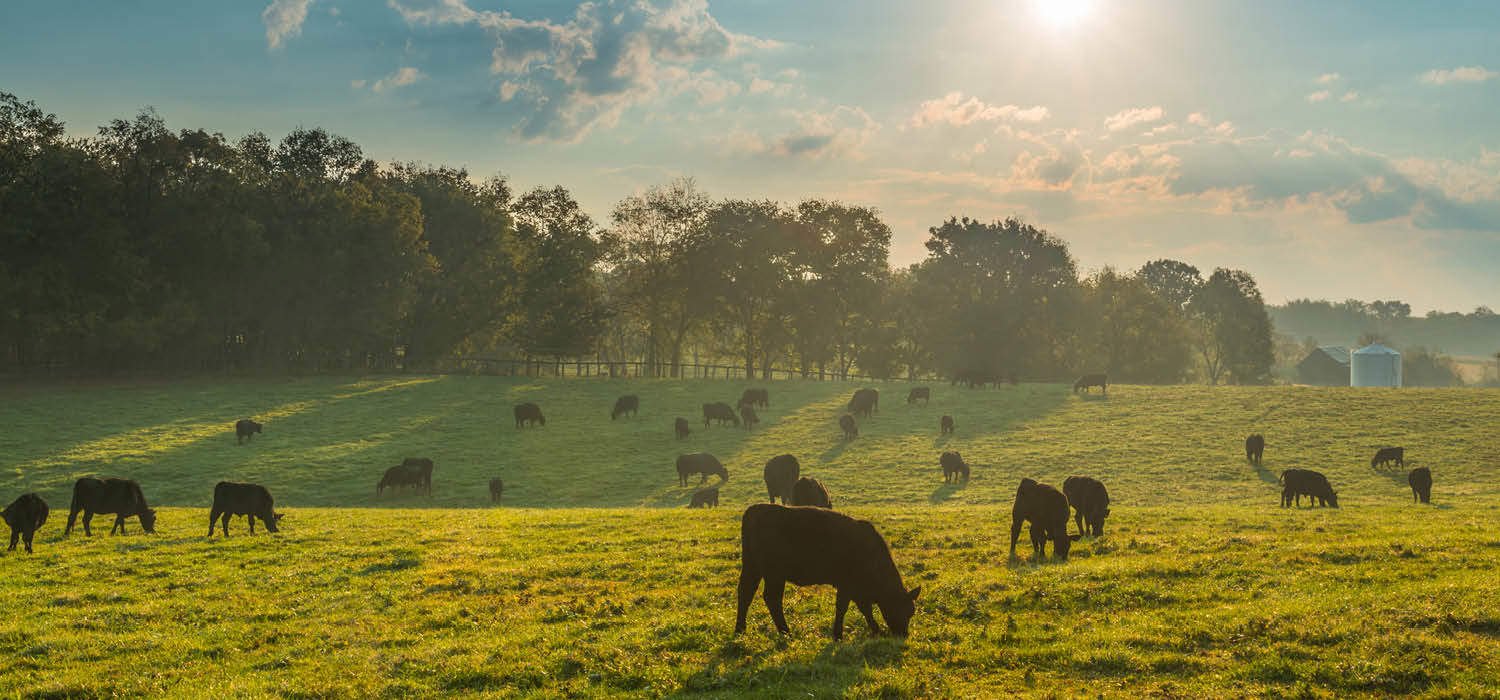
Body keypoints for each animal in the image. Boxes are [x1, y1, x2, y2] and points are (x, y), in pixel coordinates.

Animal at [732, 503, 918, 641]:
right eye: (902, 609)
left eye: (912, 611)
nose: (903, 634)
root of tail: (754, 510)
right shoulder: (847, 584)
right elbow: (843, 607)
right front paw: (838, 635)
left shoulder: (856, 589)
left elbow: (865, 609)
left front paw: (875, 629)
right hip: (773, 573)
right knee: (772, 598)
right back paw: (786, 632)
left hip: (753, 568)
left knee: (745, 593)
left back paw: (740, 630)